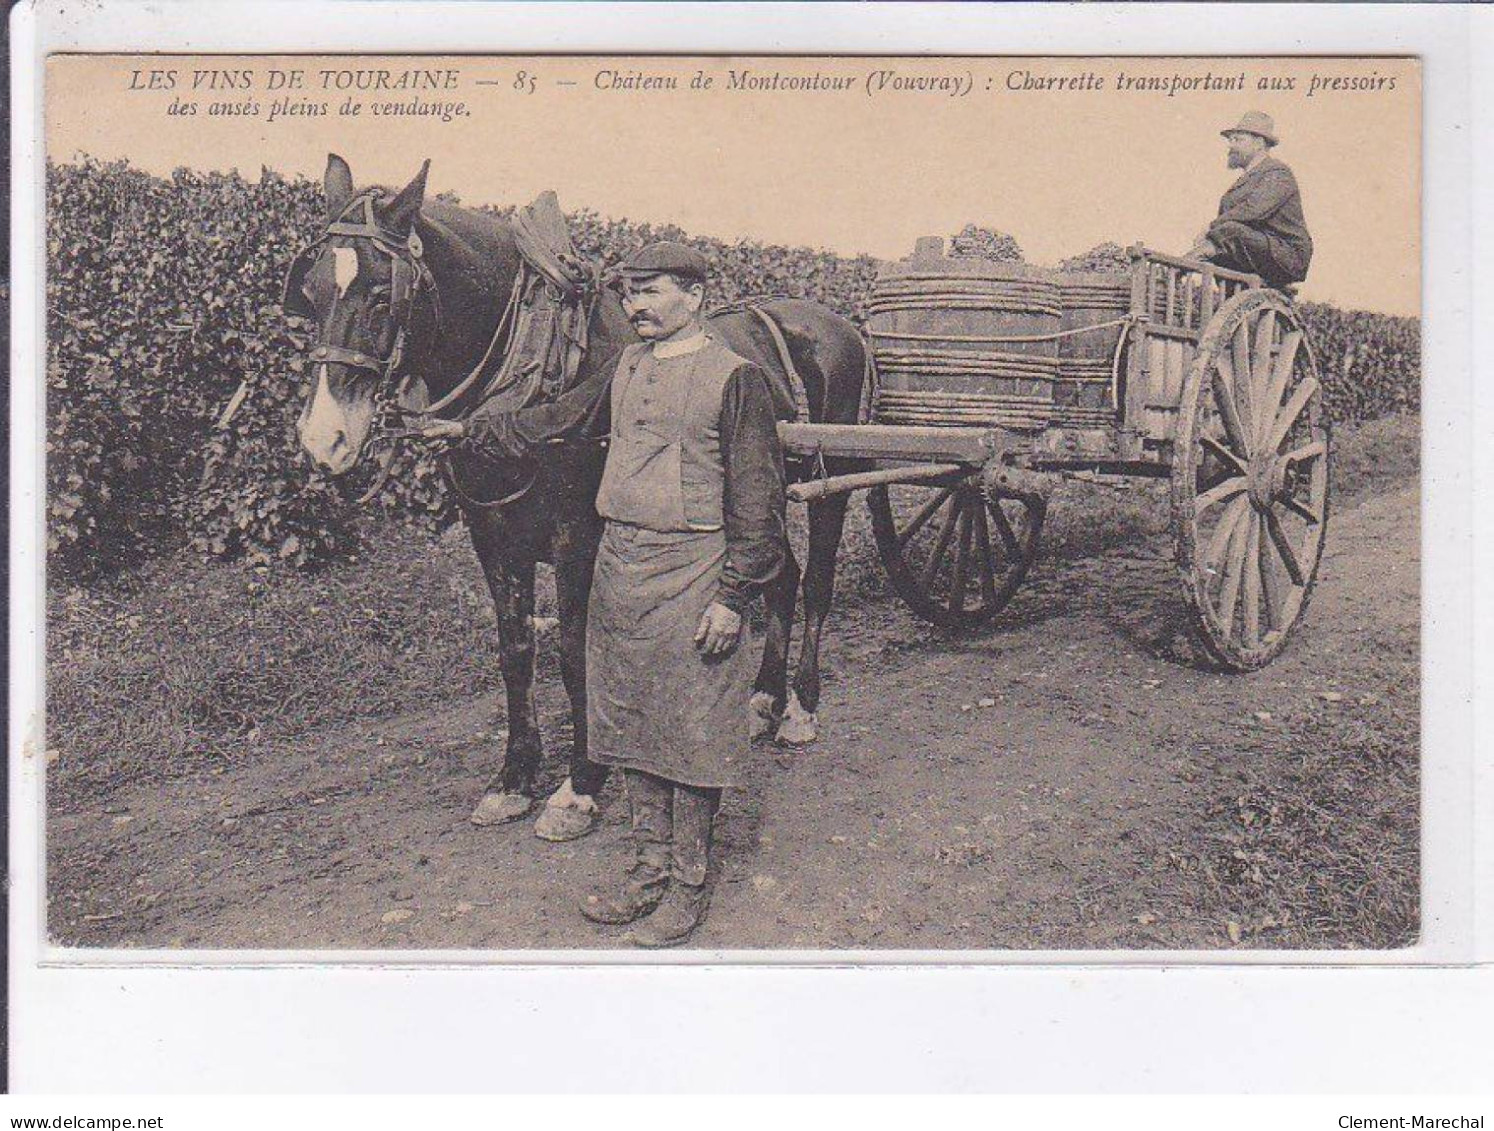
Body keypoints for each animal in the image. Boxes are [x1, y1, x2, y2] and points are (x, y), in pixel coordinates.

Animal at [288, 152, 866, 836]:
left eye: (383, 293)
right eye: (312, 290)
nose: (323, 439)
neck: (532, 371)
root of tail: (833, 322)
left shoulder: (579, 538)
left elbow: (572, 650)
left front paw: (580, 783)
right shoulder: (492, 537)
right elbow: (515, 650)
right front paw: (513, 777)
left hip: (832, 484)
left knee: (818, 581)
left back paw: (800, 707)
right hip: (760, 490)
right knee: (780, 574)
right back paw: (762, 700)